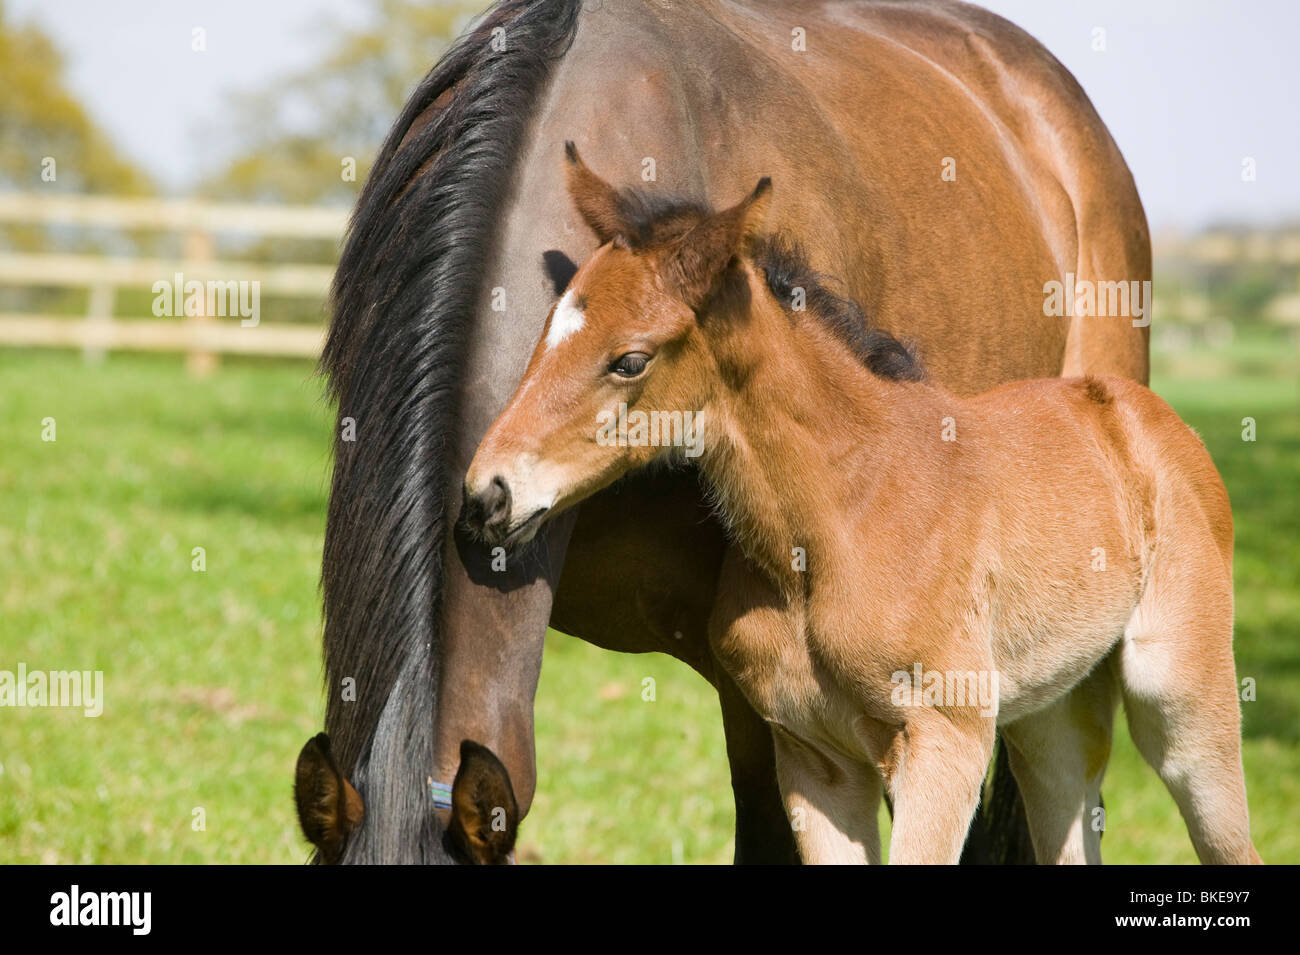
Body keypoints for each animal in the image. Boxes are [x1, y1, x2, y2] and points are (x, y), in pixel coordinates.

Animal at [463, 149, 1260, 865]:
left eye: (631, 359)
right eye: (545, 331)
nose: (486, 491)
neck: (834, 523)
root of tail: (1143, 412)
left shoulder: (943, 743)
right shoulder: (815, 760)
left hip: (1181, 700)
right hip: (1049, 720)